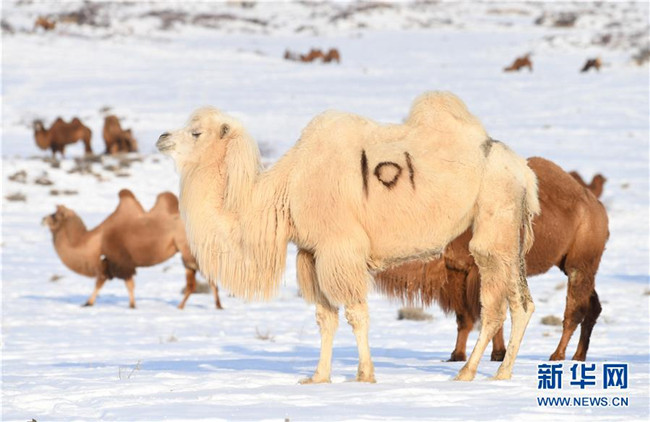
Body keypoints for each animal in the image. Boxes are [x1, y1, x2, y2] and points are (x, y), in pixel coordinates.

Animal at [43, 190, 222, 309]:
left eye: (55, 215)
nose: (43, 219)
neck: (95, 241)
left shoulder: (119, 261)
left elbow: (113, 283)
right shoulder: (111, 262)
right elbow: (107, 283)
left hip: (189, 252)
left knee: (203, 279)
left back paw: (204, 305)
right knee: (196, 282)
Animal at [157, 91, 540, 382]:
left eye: (196, 132)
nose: (162, 138)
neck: (287, 190)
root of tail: (523, 170)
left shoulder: (340, 248)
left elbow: (355, 313)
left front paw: (364, 376)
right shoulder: (311, 254)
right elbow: (324, 318)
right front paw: (318, 377)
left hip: (495, 223)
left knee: (497, 305)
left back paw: (474, 373)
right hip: (508, 231)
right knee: (516, 303)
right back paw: (495, 373)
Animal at [376, 157, 609, 362]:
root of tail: (596, 206)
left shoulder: (479, 269)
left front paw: (498, 354)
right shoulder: (457, 270)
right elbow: (464, 317)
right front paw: (457, 355)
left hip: (580, 264)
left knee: (575, 309)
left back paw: (557, 355)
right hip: (572, 264)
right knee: (593, 305)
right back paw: (578, 356)